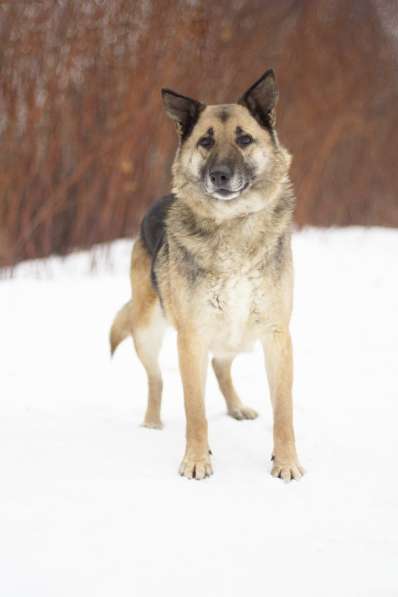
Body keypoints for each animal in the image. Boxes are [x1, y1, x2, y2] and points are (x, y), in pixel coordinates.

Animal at [110, 68, 304, 480]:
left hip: (238, 334)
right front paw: (197, 461)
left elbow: (284, 411)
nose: (219, 175)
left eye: (244, 139)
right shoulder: (192, 338)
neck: (233, 225)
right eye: (205, 141)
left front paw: (286, 462)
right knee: (157, 379)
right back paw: (152, 422)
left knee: (220, 364)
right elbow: (194, 411)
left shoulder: (276, 335)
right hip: (149, 330)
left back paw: (237, 407)